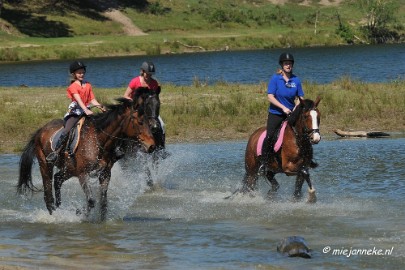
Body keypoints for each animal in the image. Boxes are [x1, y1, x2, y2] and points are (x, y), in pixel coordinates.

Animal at [17, 89, 155, 220]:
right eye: (140, 122)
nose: (152, 146)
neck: (99, 140)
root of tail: (40, 131)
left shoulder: (105, 174)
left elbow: (103, 202)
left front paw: (101, 220)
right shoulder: (83, 174)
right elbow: (91, 200)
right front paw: (80, 213)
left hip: (69, 169)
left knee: (57, 180)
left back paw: (59, 207)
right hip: (46, 165)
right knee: (48, 194)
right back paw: (54, 214)